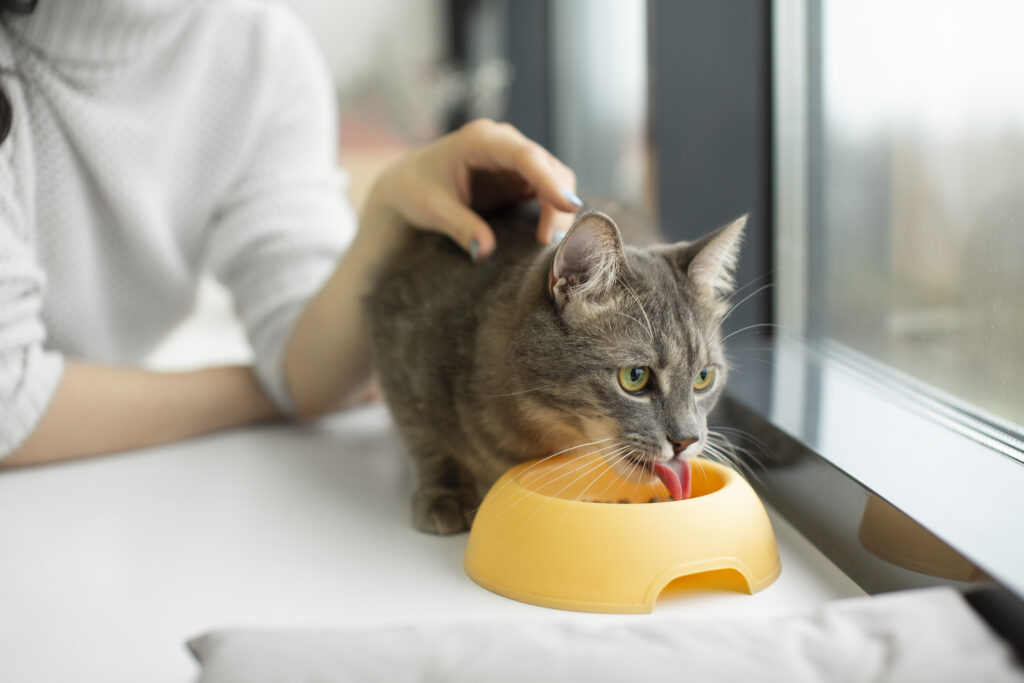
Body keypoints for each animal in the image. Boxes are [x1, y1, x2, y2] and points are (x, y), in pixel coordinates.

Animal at [368, 200, 745, 536]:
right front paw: (445, 493)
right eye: (635, 377)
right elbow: (425, 439)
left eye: (704, 377)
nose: (687, 440)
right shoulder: (394, 342)